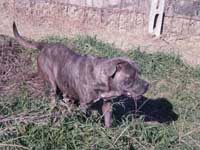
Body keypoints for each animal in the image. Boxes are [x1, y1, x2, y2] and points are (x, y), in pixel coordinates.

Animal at [12, 22, 148, 127]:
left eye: (140, 73)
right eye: (131, 77)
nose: (147, 85)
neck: (102, 79)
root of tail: (45, 45)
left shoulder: (107, 104)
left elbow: (108, 119)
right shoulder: (84, 105)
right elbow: (84, 116)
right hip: (51, 82)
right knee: (53, 97)